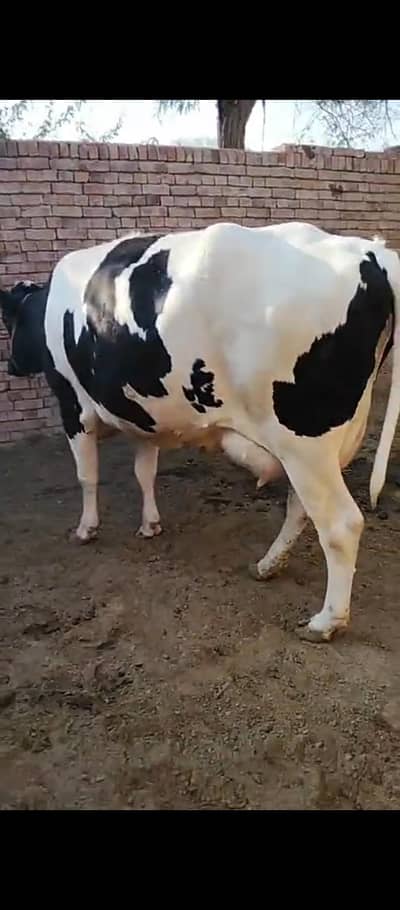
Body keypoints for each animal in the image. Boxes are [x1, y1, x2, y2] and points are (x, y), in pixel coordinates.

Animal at [1, 220, 400, 643]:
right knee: (301, 508)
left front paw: (86, 529)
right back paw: (267, 565)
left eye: (10, 321)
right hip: (312, 446)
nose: (11, 366)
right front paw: (150, 524)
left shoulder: (72, 406)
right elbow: (144, 473)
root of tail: (371, 251)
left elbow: (86, 476)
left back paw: (325, 621)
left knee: (341, 524)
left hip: (303, 440)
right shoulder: (143, 416)